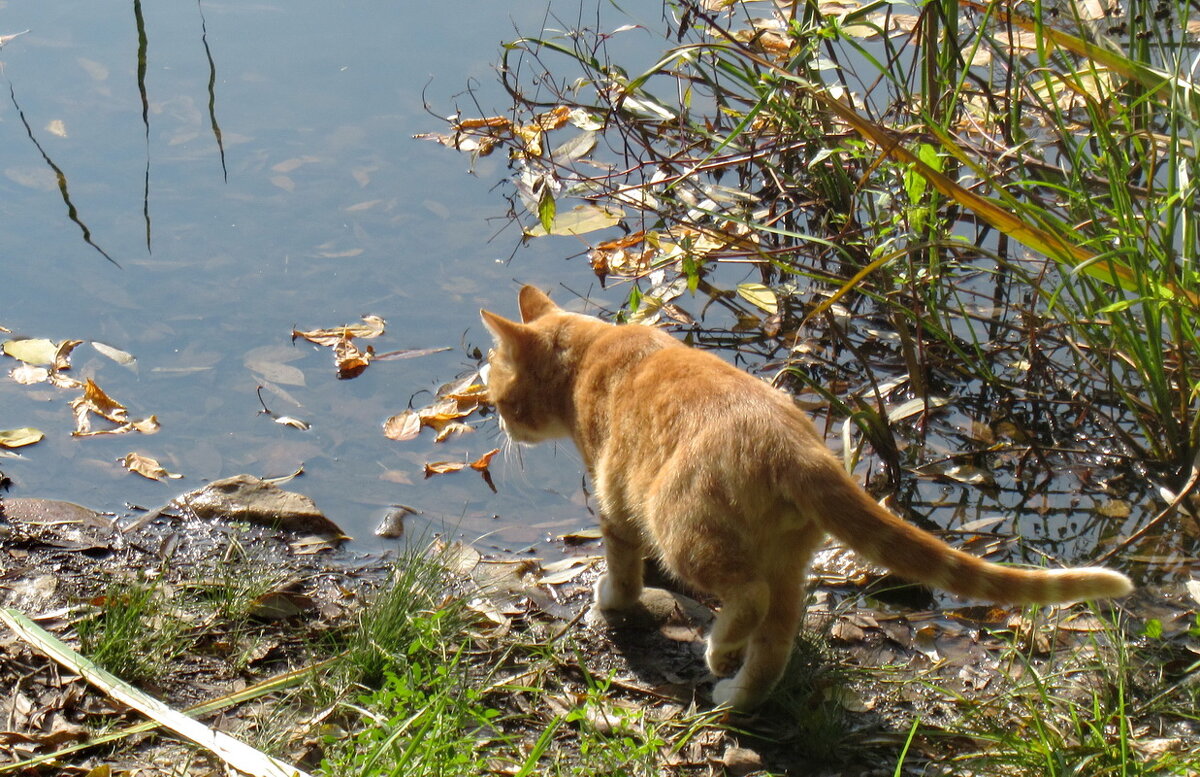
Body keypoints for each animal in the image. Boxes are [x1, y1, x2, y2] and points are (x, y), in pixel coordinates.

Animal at [480, 285, 1132, 709]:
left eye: (498, 393)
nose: (501, 425)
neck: (595, 353)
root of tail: (799, 449)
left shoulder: (615, 501)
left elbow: (621, 565)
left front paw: (611, 601)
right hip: (787, 561)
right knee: (775, 636)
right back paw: (738, 696)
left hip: (684, 530)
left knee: (747, 596)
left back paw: (720, 652)